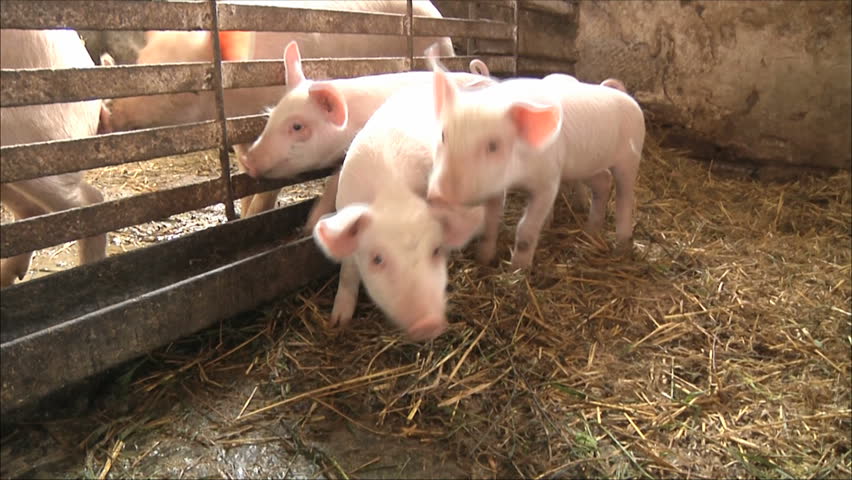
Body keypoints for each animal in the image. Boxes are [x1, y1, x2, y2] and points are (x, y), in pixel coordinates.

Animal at [312, 85, 485, 341]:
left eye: (436, 250)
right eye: (377, 259)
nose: (428, 324)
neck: (394, 195)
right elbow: (348, 272)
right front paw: (338, 323)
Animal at [427, 63, 646, 269]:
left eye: (493, 146)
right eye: (443, 136)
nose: (440, 196)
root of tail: (627, 97)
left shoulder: (548, 181)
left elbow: (526, 227)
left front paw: (518, 269)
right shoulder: (496, 186)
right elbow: (490, 222)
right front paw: (484, 260)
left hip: (630, 156)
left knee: (625, 196)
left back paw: (621, 247)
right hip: (584, 166)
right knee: (603, 181)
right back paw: (590, 231)